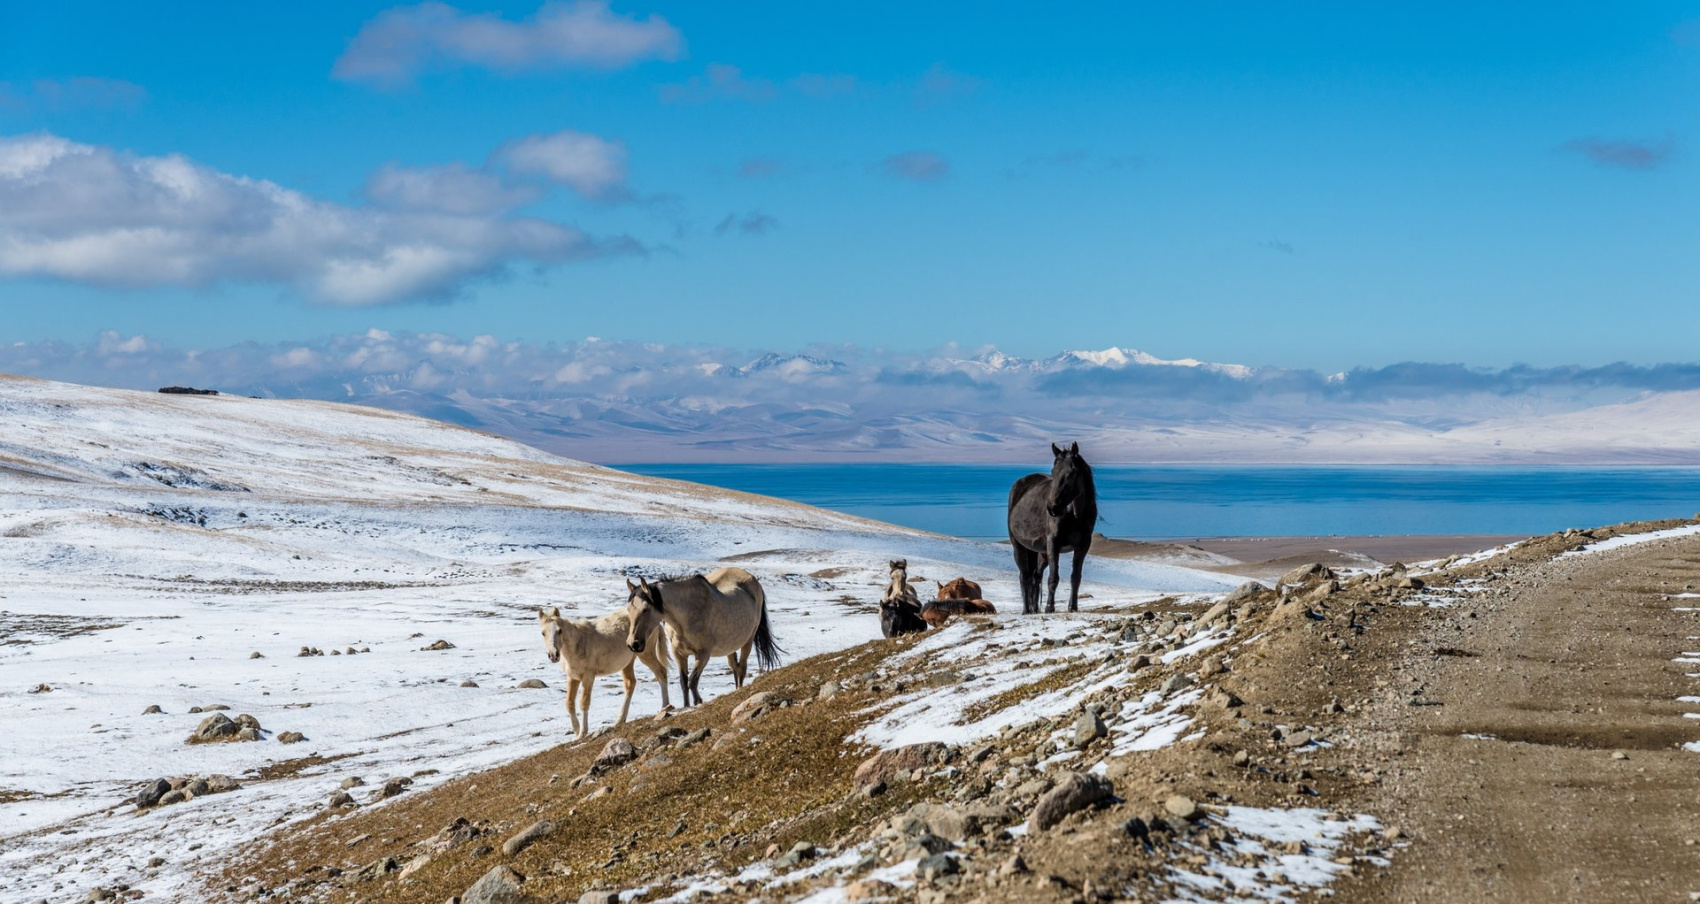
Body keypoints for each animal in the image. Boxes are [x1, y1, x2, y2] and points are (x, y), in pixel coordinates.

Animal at [544, 604, 676, 737]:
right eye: (543, 633)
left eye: (559, 631)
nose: (553, 655)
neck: (578, 643)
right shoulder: (573, 677)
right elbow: (569, 703)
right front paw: (576, 731)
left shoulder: (588, 677)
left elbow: (584, 703)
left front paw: (582, 733)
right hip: (627, 663)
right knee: (631, 683)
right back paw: (620, 720)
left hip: (646, 654)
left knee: (661, 672)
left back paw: (665, 707)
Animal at [625, 567, 782, 710]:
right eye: (628, 609)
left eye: (645, 609)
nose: (633, 644)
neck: (686, 615)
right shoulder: (679, 654)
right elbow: (684, 682)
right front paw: (687, 706)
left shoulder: (703, 654)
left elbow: (693, 681)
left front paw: (698, 702)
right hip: (730, 647)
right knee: (735, 667)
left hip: (748, 640)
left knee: (742, 668)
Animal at [1006, 438, 1101, 611]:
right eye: (1053, 471)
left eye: (1072, 472)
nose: (1052, 508)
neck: (1074, 515)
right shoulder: (1053, 543)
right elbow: (1053, 578)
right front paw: (1050, 608)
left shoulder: (1083, 545)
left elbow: (1075, 577)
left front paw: (1073, 607)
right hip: (1019, 546)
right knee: (1024, 576)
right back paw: (1026, 610)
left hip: (1040, 552)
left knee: (1035, 576)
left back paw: (1034, 609)